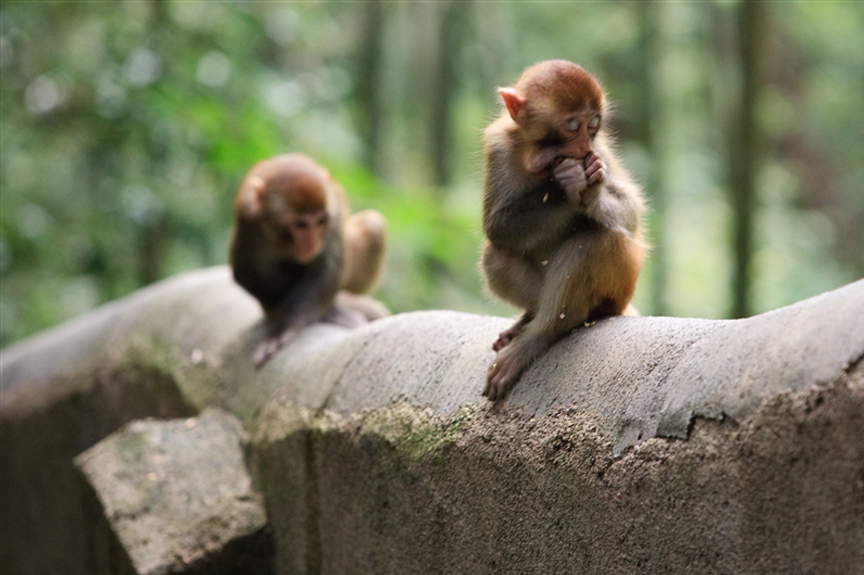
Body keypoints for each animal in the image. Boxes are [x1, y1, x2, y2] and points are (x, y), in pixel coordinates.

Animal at [231, 155, 390, 366]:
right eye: (301, 224)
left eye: (320, 221)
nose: (312, 243)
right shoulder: (248, 219)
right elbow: (246, 273)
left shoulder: (333, 218)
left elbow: (327, 269)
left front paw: (286, 323)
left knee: (373, 226)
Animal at [482, 58, 644, 400]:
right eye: (572, 125)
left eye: (593, 123)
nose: (583, 144)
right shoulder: (498, 147)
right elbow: (496, 226)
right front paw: (564, 184)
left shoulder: (599, 150)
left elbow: (631, 212)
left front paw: (589, 191)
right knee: (496, 254)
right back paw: (529, 320)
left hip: (618, 288)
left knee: (598, 238)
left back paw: (542, 334)